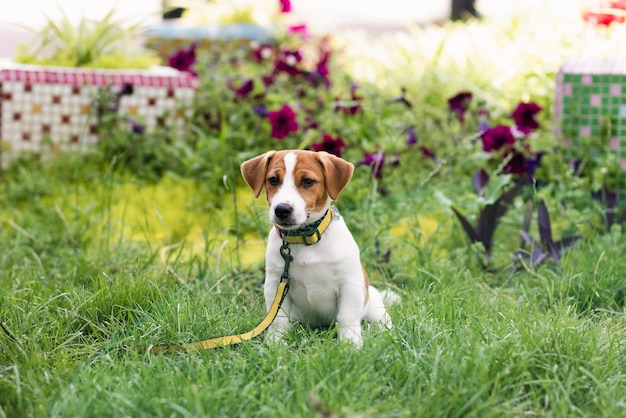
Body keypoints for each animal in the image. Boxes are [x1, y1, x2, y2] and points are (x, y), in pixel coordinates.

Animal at [239, 150, 394, 346]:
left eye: (307, 181)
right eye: (273, 180)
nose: (282, 209)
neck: (305, 238)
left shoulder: (349, 283)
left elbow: (347, 317)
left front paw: (350, 344)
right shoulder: (276, 283)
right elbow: (278, 318)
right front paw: (275, 343)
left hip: (373, 305)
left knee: (383, 321)